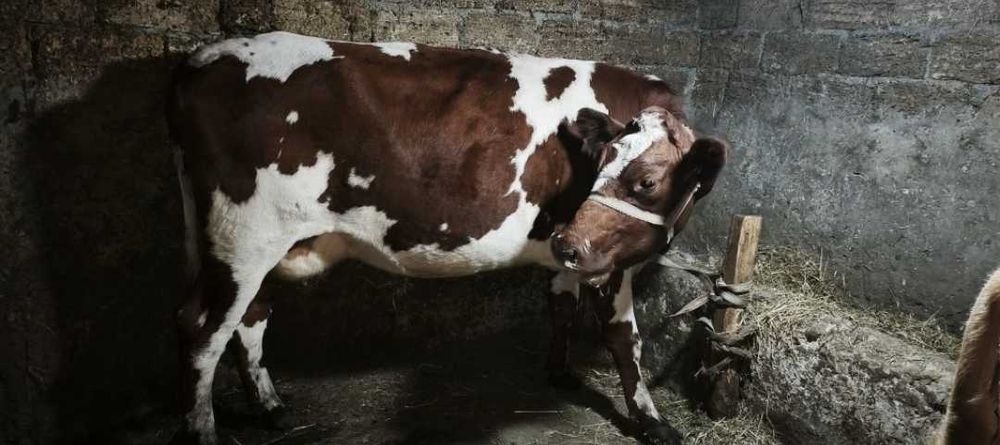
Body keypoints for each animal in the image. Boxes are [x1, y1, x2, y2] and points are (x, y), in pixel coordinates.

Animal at [166, 31, 727, 445]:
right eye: (602, 165)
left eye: (646, 181)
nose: (569, 244)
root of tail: (202, 58)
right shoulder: (607, 257)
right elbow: (624, 340)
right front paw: (652, 421)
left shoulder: (572, 246)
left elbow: (561, 305)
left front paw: (561, 373)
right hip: (243, 235)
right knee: (202, 329)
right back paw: (204, 433)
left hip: (259, 243)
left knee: (251, 318)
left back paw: (271, 407)